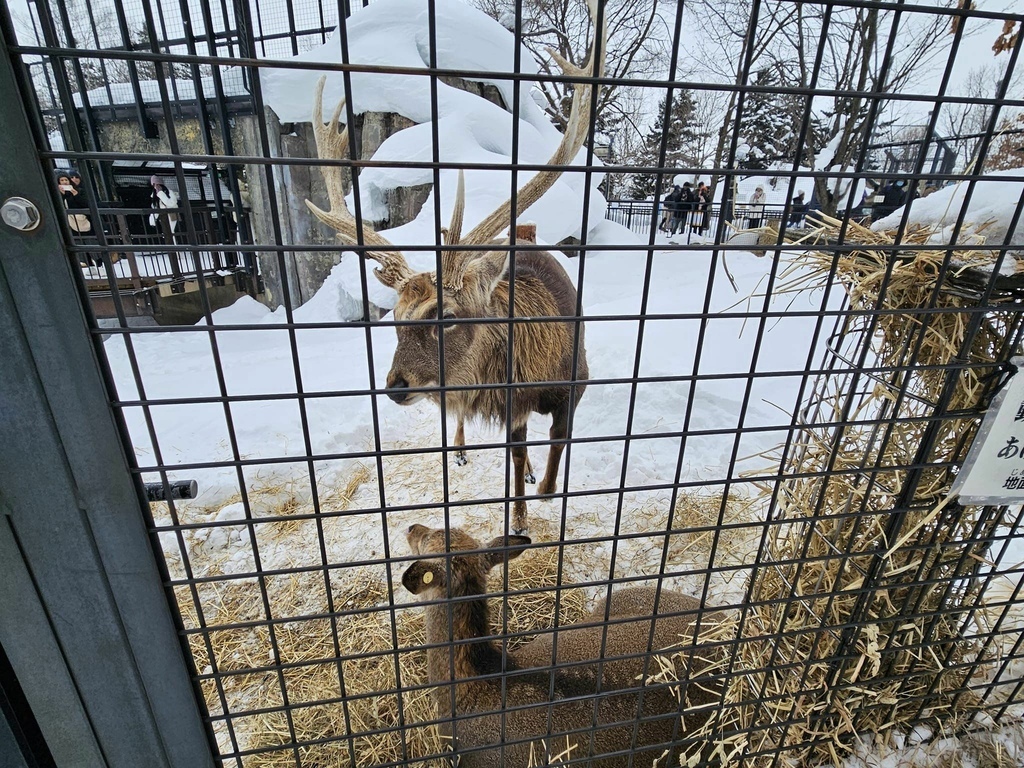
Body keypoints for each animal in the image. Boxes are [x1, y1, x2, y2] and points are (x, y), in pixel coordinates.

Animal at [303, 0, 606, 536]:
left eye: (444, 316)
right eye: (394, 319)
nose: (395, 386)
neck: (537, 370)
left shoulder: (577, 382)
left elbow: (556, 446)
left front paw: (545, 491)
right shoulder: (512, 406)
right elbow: (515, 452)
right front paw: (518, 518)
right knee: (469, 422)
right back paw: (464, 448)